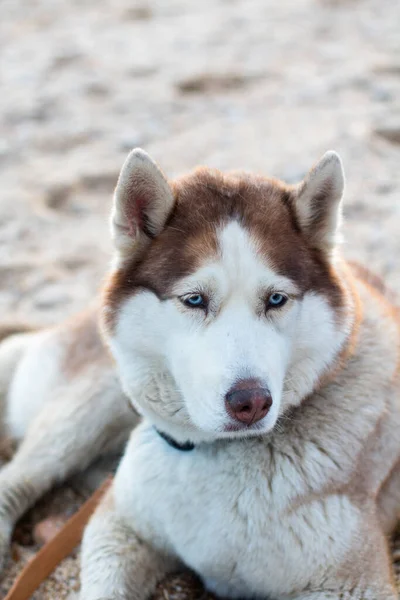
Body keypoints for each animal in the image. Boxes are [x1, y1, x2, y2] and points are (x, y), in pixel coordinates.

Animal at [0, 148, 400, 596]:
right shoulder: (119, 524)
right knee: (17, 478)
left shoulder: (352, 583)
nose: (251, 402)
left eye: (276, 299)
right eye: (194, 299)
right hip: (90, 408)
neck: (212, 452)